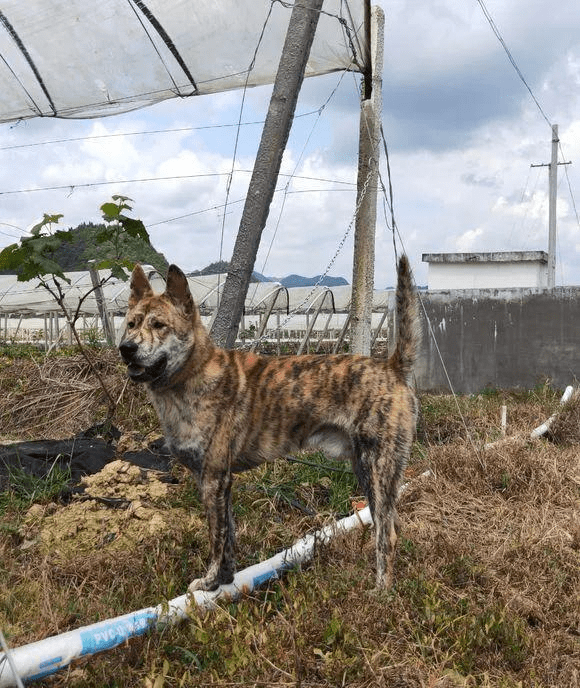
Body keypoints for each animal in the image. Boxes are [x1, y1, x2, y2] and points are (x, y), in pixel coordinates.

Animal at [119, 258, 416, 592]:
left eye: (159, 325)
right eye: (131, 324)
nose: (126, 348)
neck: (192, 375)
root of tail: (391, 367)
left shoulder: (213, 479)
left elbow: (216, 539)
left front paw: (208, 583)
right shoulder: (217, 482)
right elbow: (228, 536)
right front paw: (225, 581)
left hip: (375, 469)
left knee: (386, 534)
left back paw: (381, 592)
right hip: (369, 472)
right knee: (390, 523)